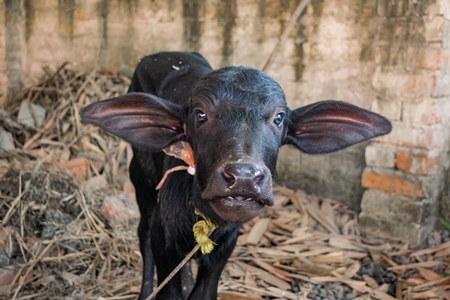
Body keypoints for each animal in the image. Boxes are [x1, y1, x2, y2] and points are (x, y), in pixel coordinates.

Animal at [80, 52, 390, 300]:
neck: (201, 212)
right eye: (200, 114)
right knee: (142, 233)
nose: (243, 177)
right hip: (141, 180)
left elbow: (202, 293)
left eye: (279, 118)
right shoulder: (163, 234)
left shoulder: (225, 245)